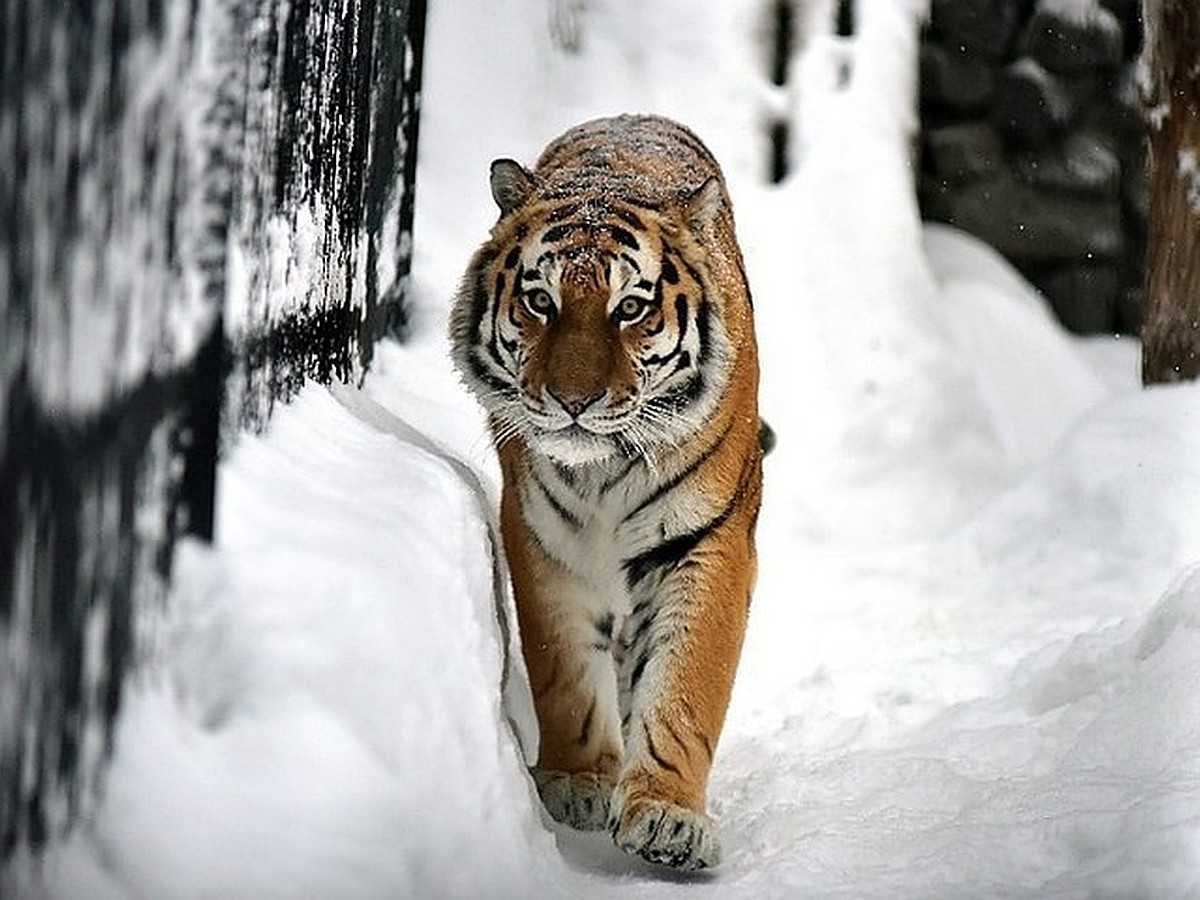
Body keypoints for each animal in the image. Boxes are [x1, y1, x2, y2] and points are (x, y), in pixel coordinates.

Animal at [446, 114, 763, 873]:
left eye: (631, 309)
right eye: (541, 301)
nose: (573, 401)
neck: (605, 470)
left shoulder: (708, 539)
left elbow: (686, 681)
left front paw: (669, 817)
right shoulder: (544, 538)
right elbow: (563, 671)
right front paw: (578, 781)